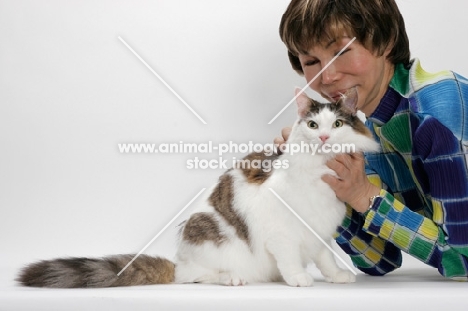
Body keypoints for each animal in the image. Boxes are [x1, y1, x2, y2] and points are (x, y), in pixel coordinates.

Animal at [17, 88, 380, 288]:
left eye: (337, 124)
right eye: (313, 125)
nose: (324, 137)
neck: (318, 174)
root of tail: (177, 259)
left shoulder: (319, 229)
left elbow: (326, 258)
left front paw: (335, 276)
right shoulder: (282, 231)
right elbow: (291, 257)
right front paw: (297, 278)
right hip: (207, 234)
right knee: (192, 275)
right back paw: (232, 278)